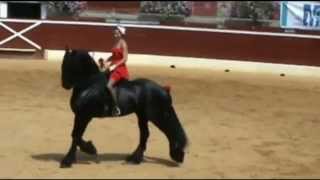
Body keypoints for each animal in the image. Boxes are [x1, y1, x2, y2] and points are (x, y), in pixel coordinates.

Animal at [60, 48, 188, 168]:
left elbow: (76, 136)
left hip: (157, 116)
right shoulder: (80, 116)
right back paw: (135, 158)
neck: (89, 85)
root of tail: (163, 89)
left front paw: (70, 159)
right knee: (145, 134)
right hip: (142, 115)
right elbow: (75, 135)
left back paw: (175, 154)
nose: (65, 85)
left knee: (168, 130)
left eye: (69, 64)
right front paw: (87, 150)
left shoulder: (84, 116)